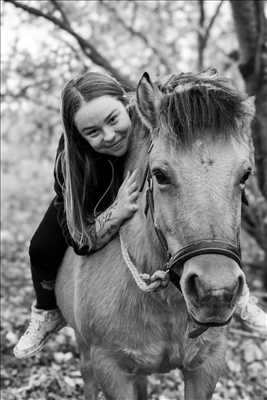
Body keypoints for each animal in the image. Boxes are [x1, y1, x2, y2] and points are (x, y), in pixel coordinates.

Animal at [56, 71, 255, 400]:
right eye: (160, 174)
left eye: (246, 174)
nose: (216, 292)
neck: (163, 300)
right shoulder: (110, 370)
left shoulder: (207, 365)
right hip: (86, 352)